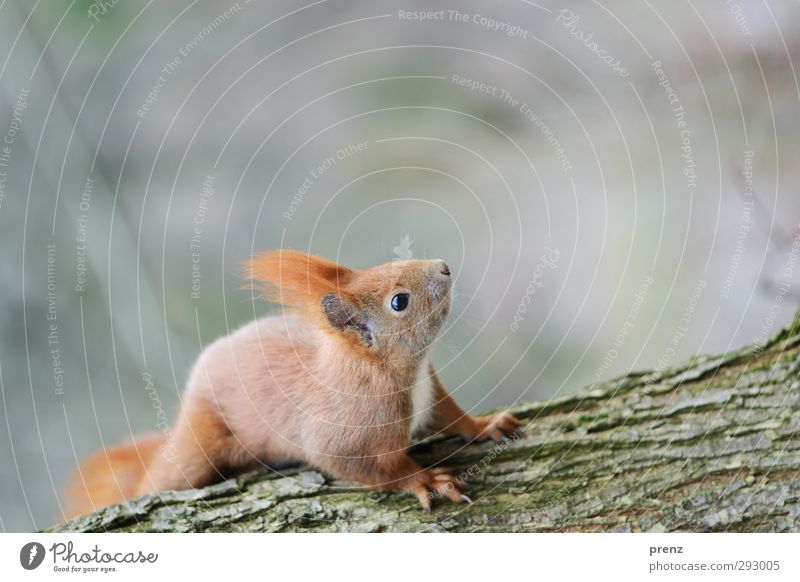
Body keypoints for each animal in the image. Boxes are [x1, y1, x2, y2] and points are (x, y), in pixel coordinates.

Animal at [65, 251, 520, 520]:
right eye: (399, 301)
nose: (444, 266)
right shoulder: (346, 429)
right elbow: (368, 467)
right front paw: (423, 480)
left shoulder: (431, 391)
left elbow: (453, 417)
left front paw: (487, 425)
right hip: (197, 447)